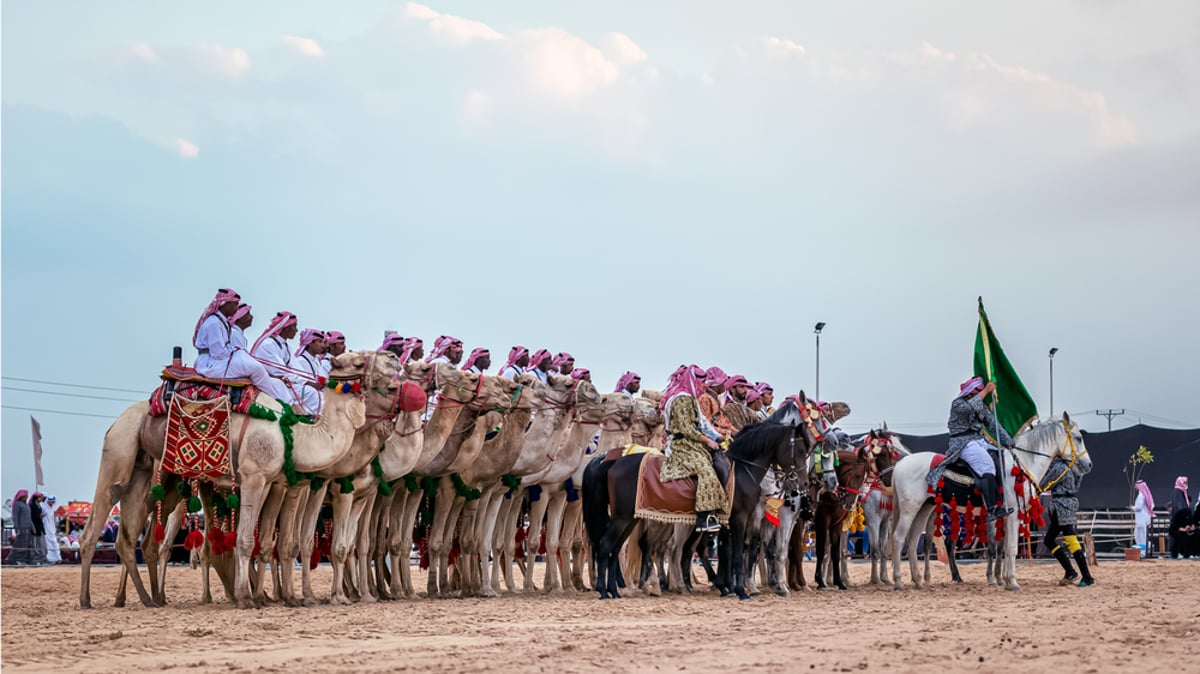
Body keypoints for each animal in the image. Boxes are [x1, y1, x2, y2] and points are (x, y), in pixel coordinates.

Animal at [580, 393, 825, 597]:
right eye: (801, 450)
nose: (803, 483)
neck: (742, 468)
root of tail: (610, 461)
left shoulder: (732, 522)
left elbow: (732, 552)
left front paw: (730, 588)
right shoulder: (741, 518)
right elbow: (738, 553)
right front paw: (741, 590)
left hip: (631, 517)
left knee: (619, 549)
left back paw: (618, 589)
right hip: (629, 518)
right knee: (612, 546)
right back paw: (612, 590)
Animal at [892, 410, 1089, 587]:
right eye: (1078, 438)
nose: (1088, 464)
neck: (1021, 464)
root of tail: (900, 464)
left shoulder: (1002, 517)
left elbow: (1001, 549)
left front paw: (1002, 579)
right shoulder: (1013, 514)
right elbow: (1010, 548)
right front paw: (1011, 581)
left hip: (924, 509)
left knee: (913, 541)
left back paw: (918, 580)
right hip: (910, 511)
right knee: (899, 538)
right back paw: (898, 581)